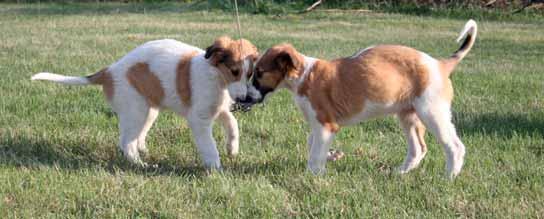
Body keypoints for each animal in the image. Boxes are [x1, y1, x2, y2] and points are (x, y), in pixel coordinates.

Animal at [31, 36, 260, 170]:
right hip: (137, 110)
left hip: (148, 110)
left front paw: (232, 149)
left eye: (249, 74)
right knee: (126, 142)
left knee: (133, 138)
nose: (244, 100)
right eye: (234, 71)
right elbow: (209, 145)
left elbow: (233, 124)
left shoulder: (218, 109)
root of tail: (109, 71)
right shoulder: (200, 118)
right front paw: (216, 168)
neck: (216, 77)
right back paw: (142, 165)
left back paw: (143, 152)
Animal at [249, 20, 478, 178]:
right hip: (408, 115)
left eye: (259, 73)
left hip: (432, 113)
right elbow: (311, 143)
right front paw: (332, 155)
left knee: (455, 146)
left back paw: (448, 177)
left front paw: (313, 176)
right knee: (418, 149)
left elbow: (314, 155)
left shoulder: (325, 125)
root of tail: (441, 65)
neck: (305, 76)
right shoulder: (318, 125)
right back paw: (400, 173)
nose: (245, 97)